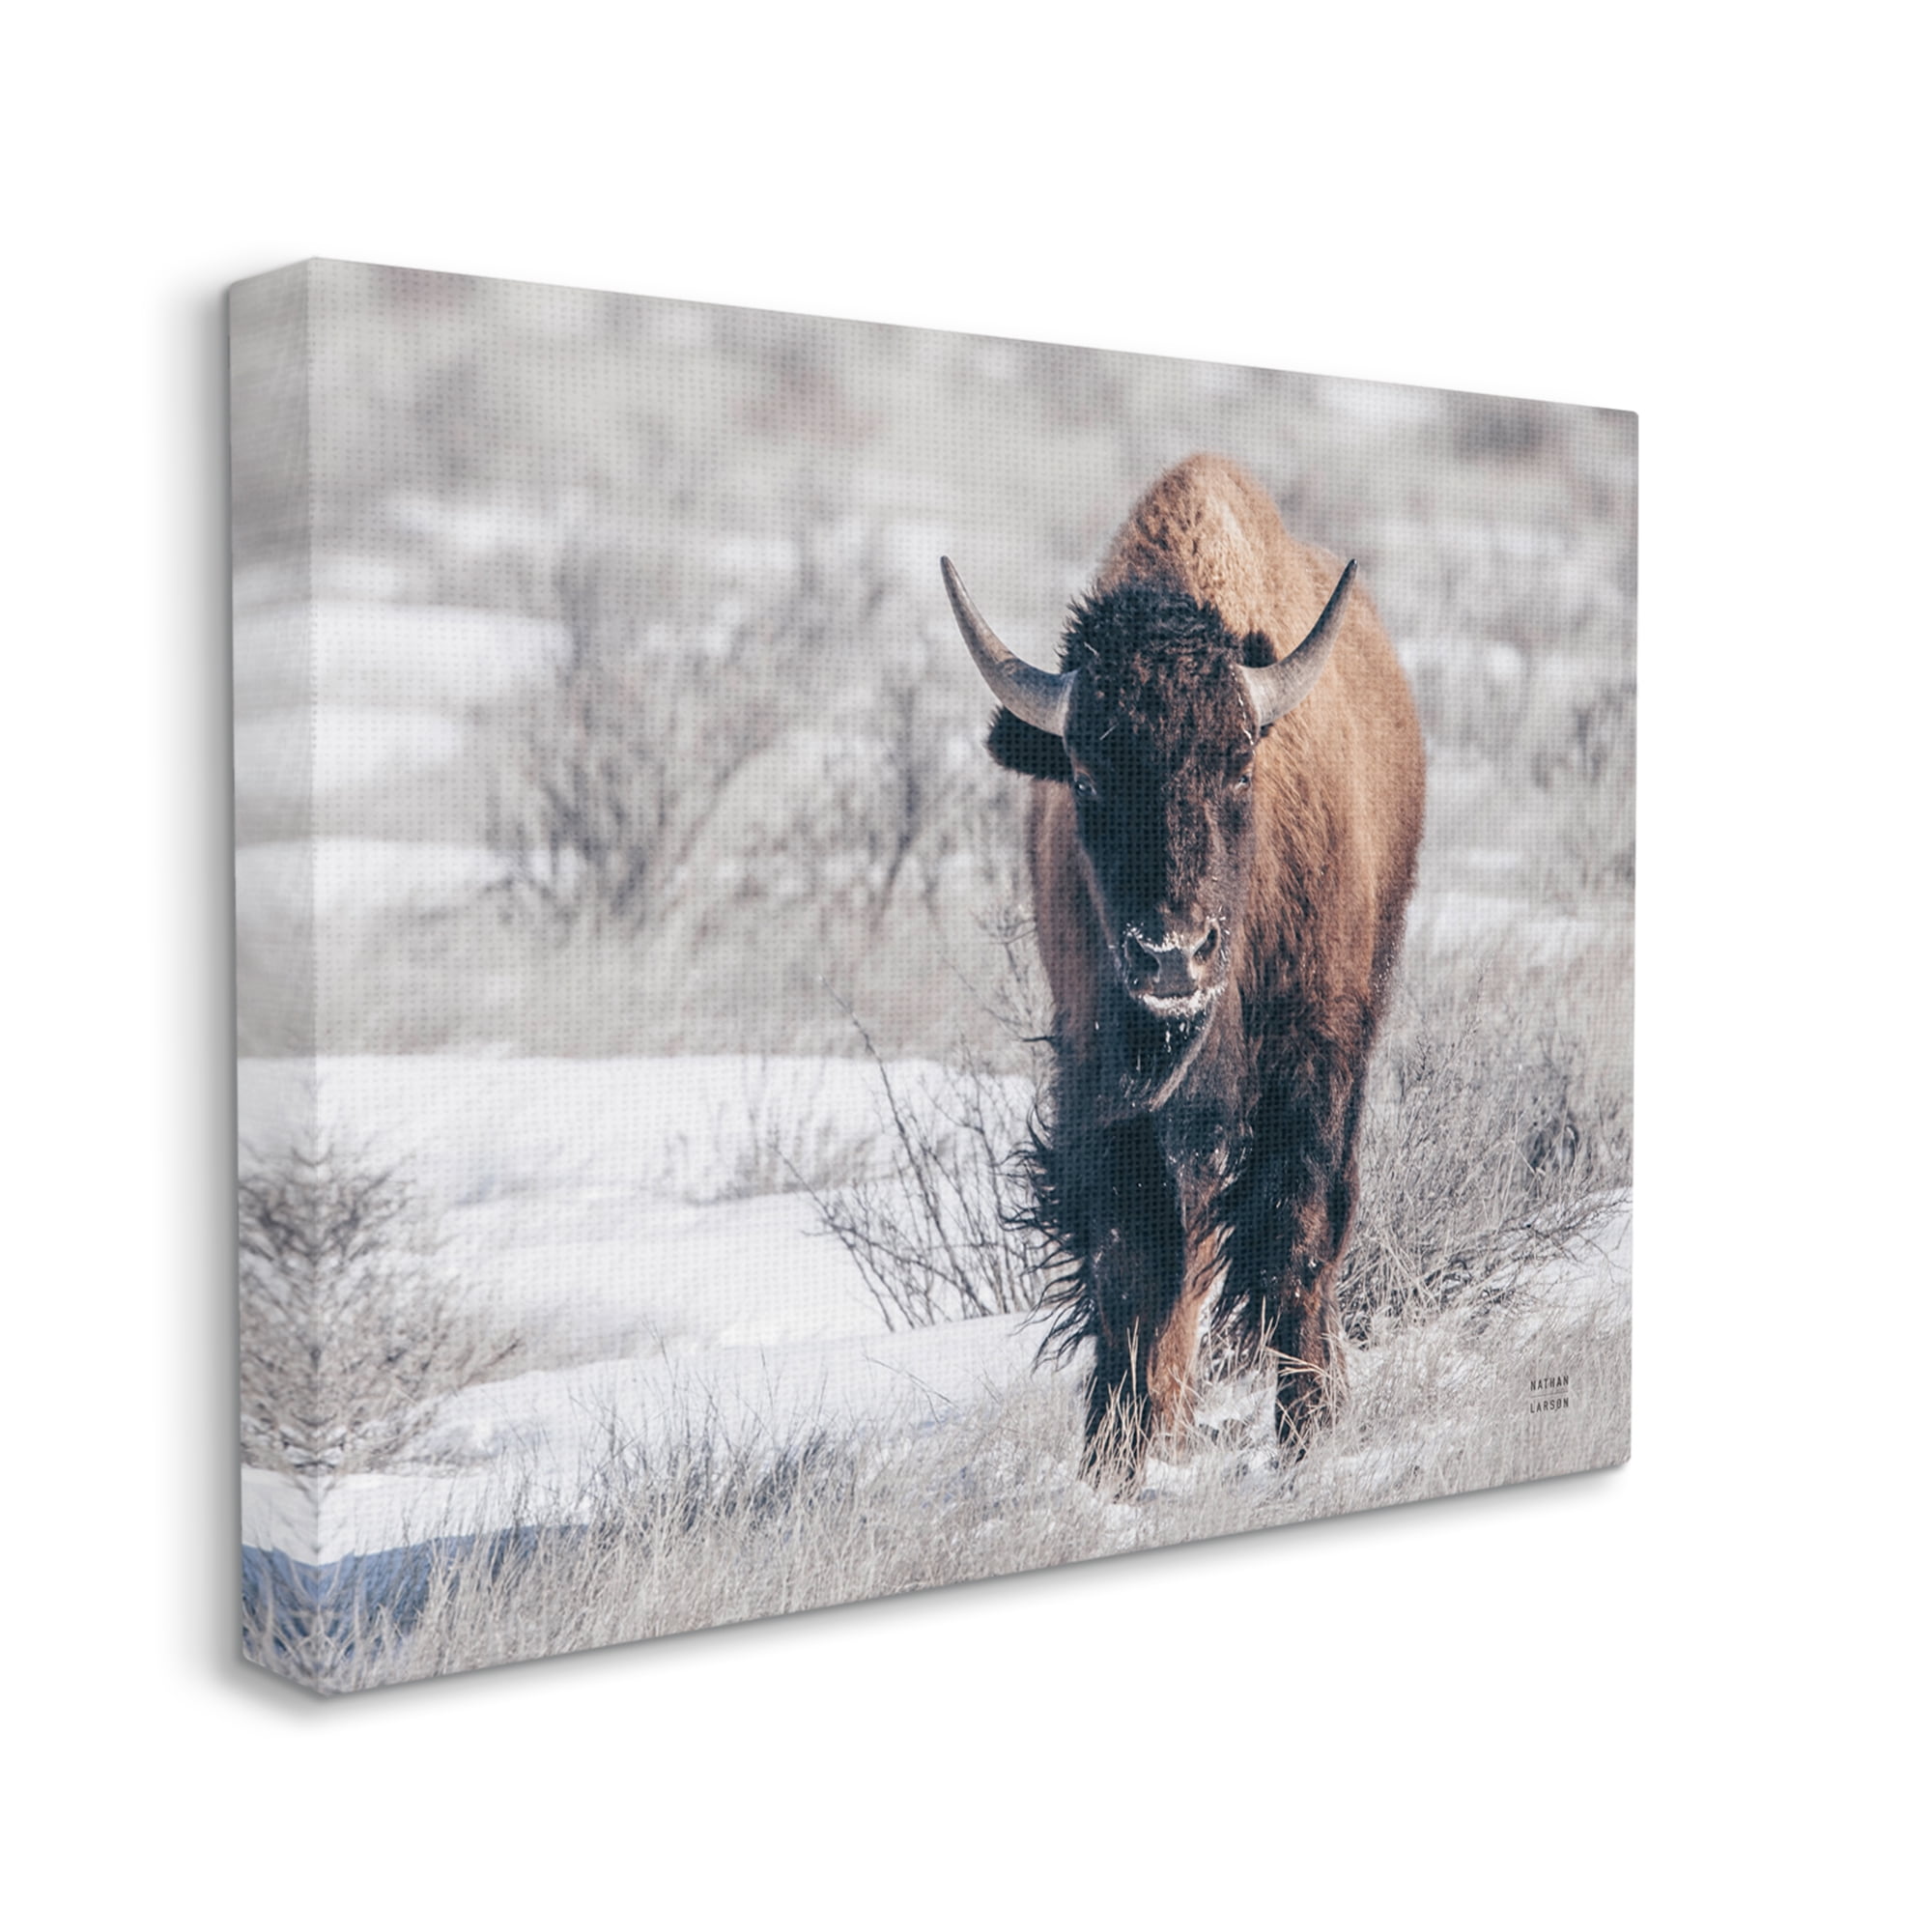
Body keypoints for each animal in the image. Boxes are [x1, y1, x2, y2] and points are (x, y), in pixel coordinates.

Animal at [944, 455, 1425, 1470]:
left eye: (1239, 765)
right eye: (1086, 777)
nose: (1171, 956)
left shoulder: (1313, 1062)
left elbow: (1294, 1235)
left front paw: (1307, 1433)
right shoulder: (1103, 1075)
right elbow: (1134, 1263)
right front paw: (1115, 1457)